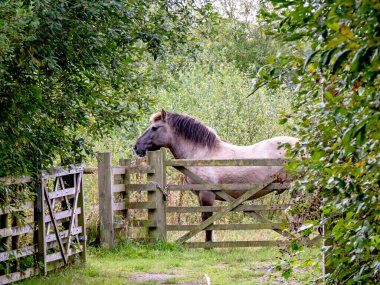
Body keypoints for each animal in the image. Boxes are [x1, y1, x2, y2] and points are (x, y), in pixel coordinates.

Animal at [134, 110, 300, 241]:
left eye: (154, 128)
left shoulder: (207, 195)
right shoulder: (201, 197)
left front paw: (209, 246)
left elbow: (207, 221)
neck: (203, 154)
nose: (136, 147)